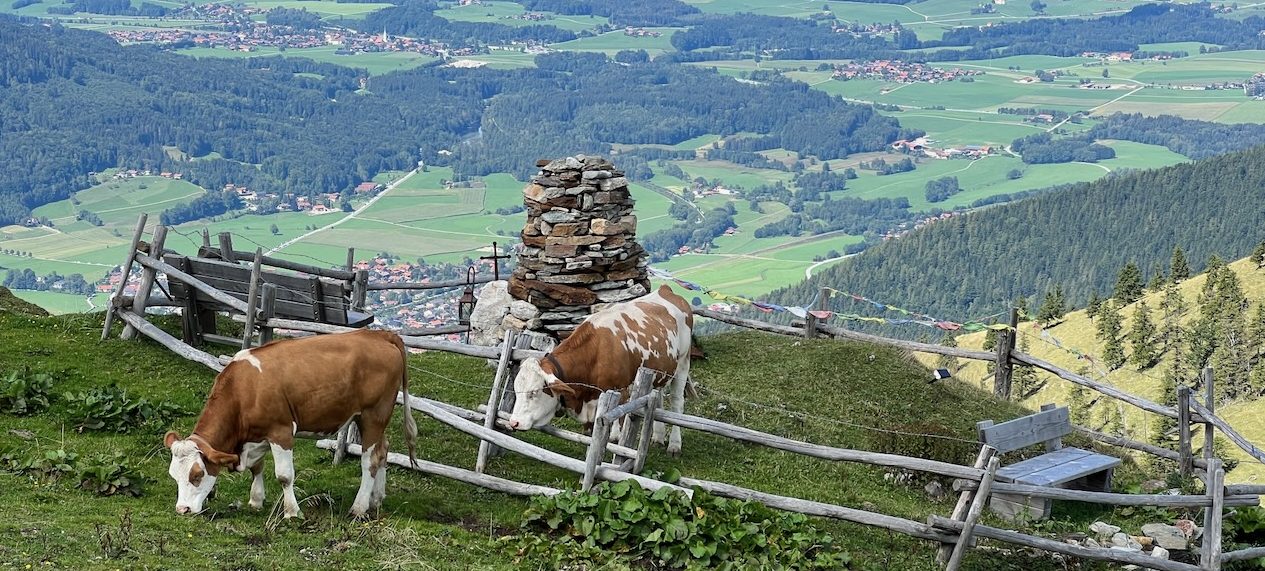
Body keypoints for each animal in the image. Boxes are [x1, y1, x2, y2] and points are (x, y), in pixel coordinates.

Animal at [163, 329, 418, 520]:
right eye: (173, 475)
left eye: (196, 475)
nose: (182, 509)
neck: (244, 389)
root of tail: (379, 334)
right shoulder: (257, 435)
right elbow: (257, 468)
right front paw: (256, 500)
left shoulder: (281, 431)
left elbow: (284, 475)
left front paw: (292, 512)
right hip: (371, 419)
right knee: (383, 450)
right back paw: (376, 499)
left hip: (374, 414)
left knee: (370, 460)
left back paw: (359, 507)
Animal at [507, 284, 693, 456]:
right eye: (516, 390)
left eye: (534, 392)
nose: (514, 422)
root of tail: (665, 289)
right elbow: (592, 439)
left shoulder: (621, 396)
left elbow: (616, 441)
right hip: (661, 373)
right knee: (659, 398)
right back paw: (658, 437)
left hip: (683, 364)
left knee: (677, 403)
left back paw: (674, 445)